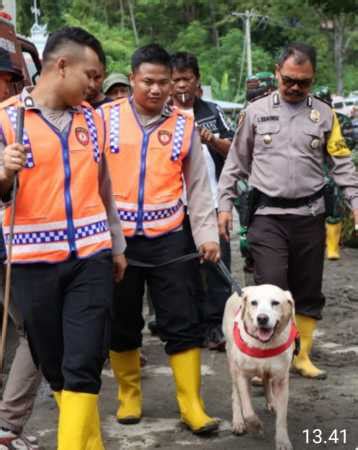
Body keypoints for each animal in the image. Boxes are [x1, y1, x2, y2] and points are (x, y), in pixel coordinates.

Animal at [224, 284, 296, 450]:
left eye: (275, 303)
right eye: (254, 303)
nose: (262, 318)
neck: (264, 344)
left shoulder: (281, 380)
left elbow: (282, 418)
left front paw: (283, 441)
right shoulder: (243, 375)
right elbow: (248, 411)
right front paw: (255, 426)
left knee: (266, 381)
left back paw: (272, 402)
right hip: (232, 364)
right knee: (235, 394)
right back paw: (238, 421)